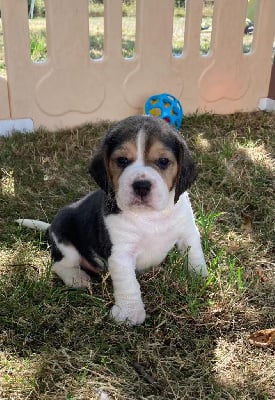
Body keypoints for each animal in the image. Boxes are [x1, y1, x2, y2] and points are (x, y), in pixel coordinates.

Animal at [17, 115, 207, 324]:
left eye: (163, 161)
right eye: (122, 160)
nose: (141, 185)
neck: (149, 216)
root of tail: (50, 227)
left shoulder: (187, 233)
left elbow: (195, 255)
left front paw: (199, 278)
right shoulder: (121, 253)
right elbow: (128, 283)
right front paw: (130, 313)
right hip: (65, 240)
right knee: (60, 264)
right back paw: (77, 278)